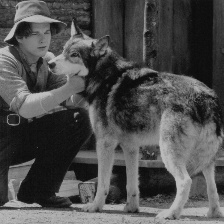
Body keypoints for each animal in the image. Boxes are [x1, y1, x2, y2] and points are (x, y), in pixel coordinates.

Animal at [49, 20, 224, 220]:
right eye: (63, 50)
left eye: (74, 55)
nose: (50, 64)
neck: (105, 76)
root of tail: (206, 97)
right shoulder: (130, 146)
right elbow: (132, 183)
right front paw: (131, 208)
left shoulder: (104, 143)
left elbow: (103, 183)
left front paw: (95, 207)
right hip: (206, 160)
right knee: (212, 188)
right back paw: (213, 212)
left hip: (168, 153)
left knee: (185, 181)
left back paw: (171, 213)